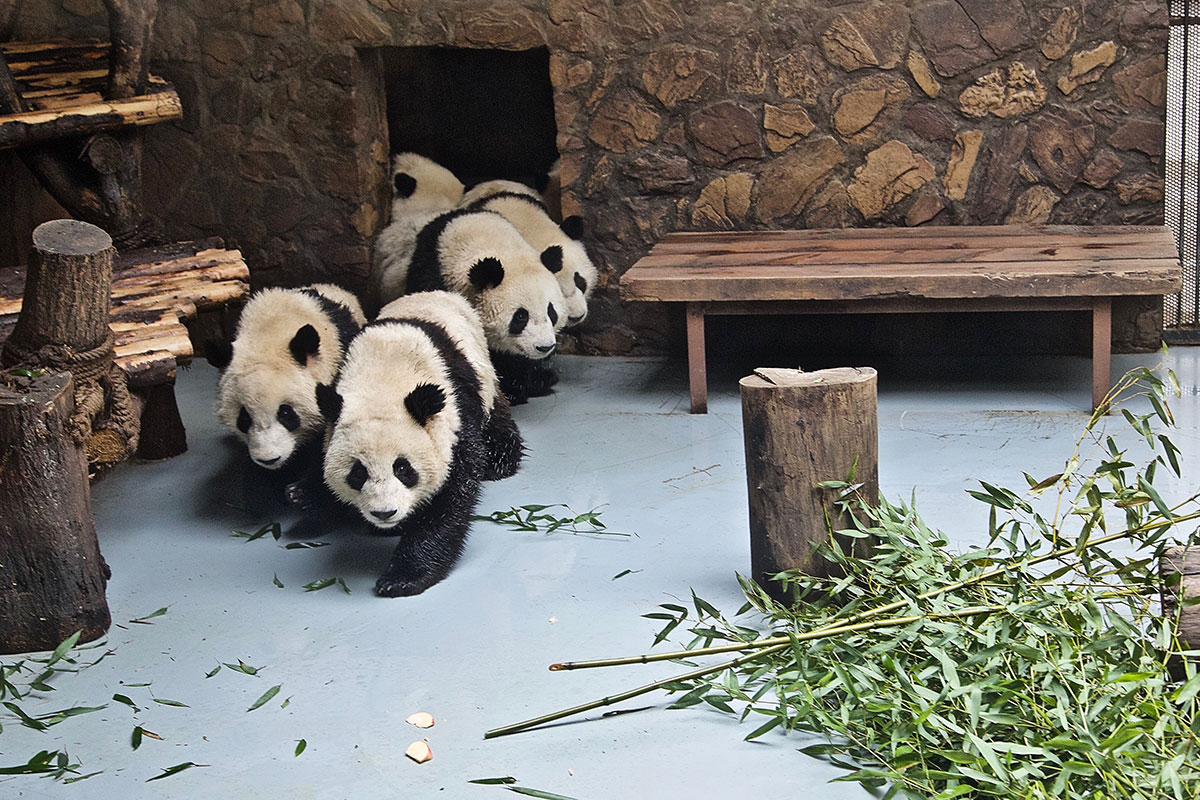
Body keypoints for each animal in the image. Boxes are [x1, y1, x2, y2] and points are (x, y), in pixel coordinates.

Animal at [316, 291, 523, 597]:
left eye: (403, 469)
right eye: (358, 473)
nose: (384, 513)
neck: (383, 376)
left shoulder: (454, 414)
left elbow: (450, 497)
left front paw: (402, 578)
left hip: (482, 369)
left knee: (495, 411)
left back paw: (501, 460)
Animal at [405, 208, 567, 405]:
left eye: (551, 312)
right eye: (521, 316)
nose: (544, 347)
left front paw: (528, 381)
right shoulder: (434, 276)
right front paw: (514, 391)